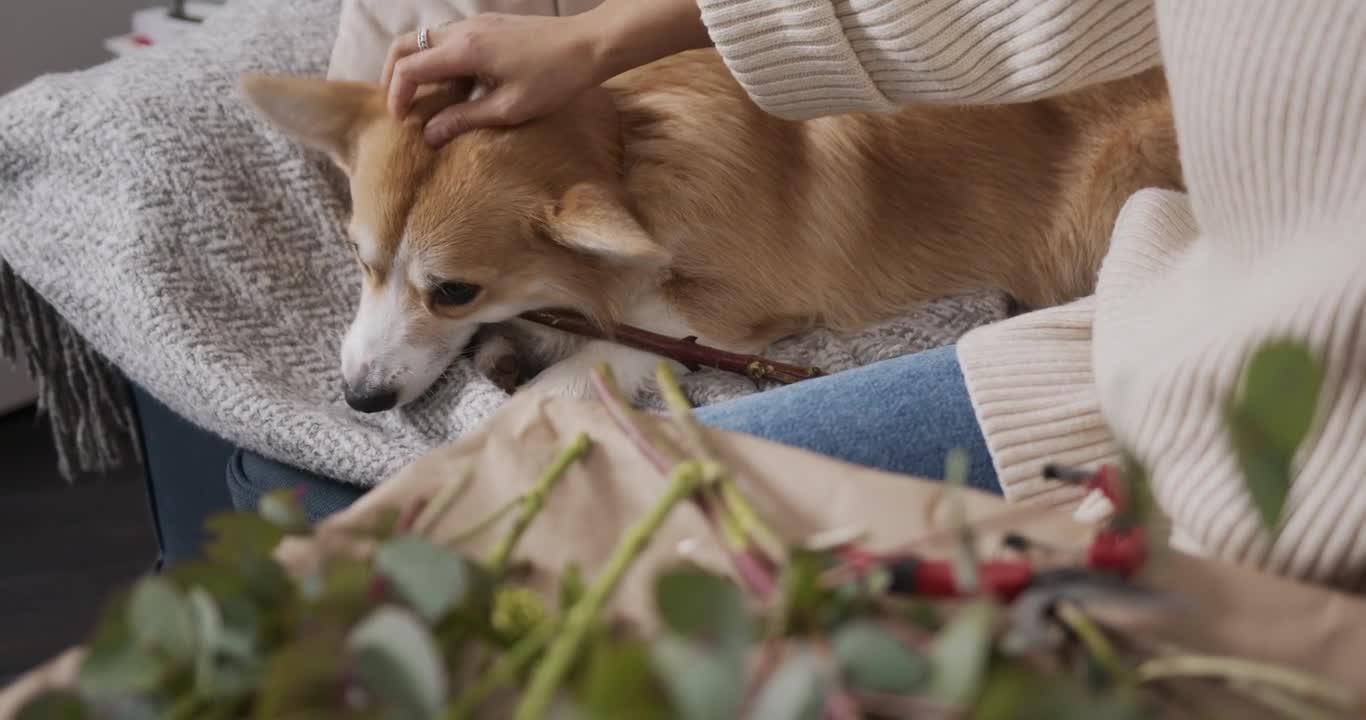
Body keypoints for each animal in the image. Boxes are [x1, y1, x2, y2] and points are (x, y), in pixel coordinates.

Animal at [240, 49, 1180, 412]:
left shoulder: (718, 317)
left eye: (454, 289)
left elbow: (590, 365)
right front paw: (510, 346)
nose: (359, 399)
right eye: (360, 261)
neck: (630, 152)